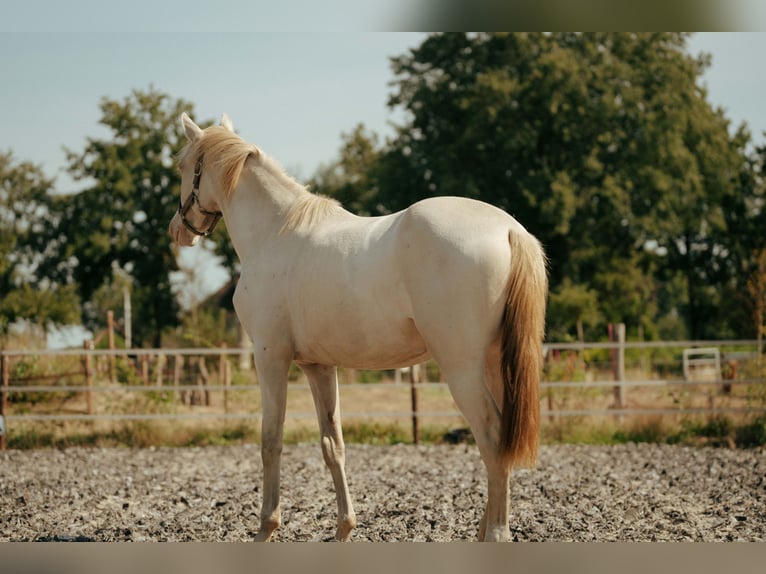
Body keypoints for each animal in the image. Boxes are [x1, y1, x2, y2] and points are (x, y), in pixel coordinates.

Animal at [170, 113, 548, 544]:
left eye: (182, 167)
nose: (178, 230)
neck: (275, 234)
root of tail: (508, 230)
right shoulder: (318, 366)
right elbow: (332, 444)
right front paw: (344, 528)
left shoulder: (270, 357)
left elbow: (271, 441)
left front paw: (266, 528)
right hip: (496, 364)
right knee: (501, 442)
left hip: (462, 369)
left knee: (491, 438)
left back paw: (495, 534)